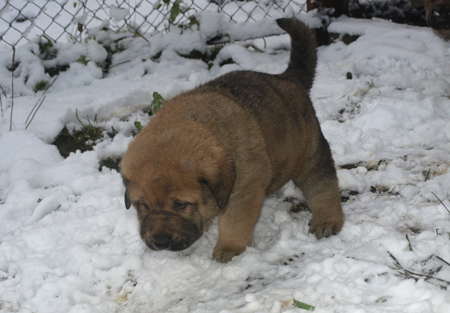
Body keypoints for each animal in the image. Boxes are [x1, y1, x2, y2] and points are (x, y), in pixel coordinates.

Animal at [119, 17, 344, 260]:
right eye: (142, 205)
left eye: (181, 205)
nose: (160, 242)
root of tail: (287, 79)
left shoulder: (244, 190)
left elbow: (235, 222)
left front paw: (229, 248)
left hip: (310, 152)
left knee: (323, 186)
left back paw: (327, 219)